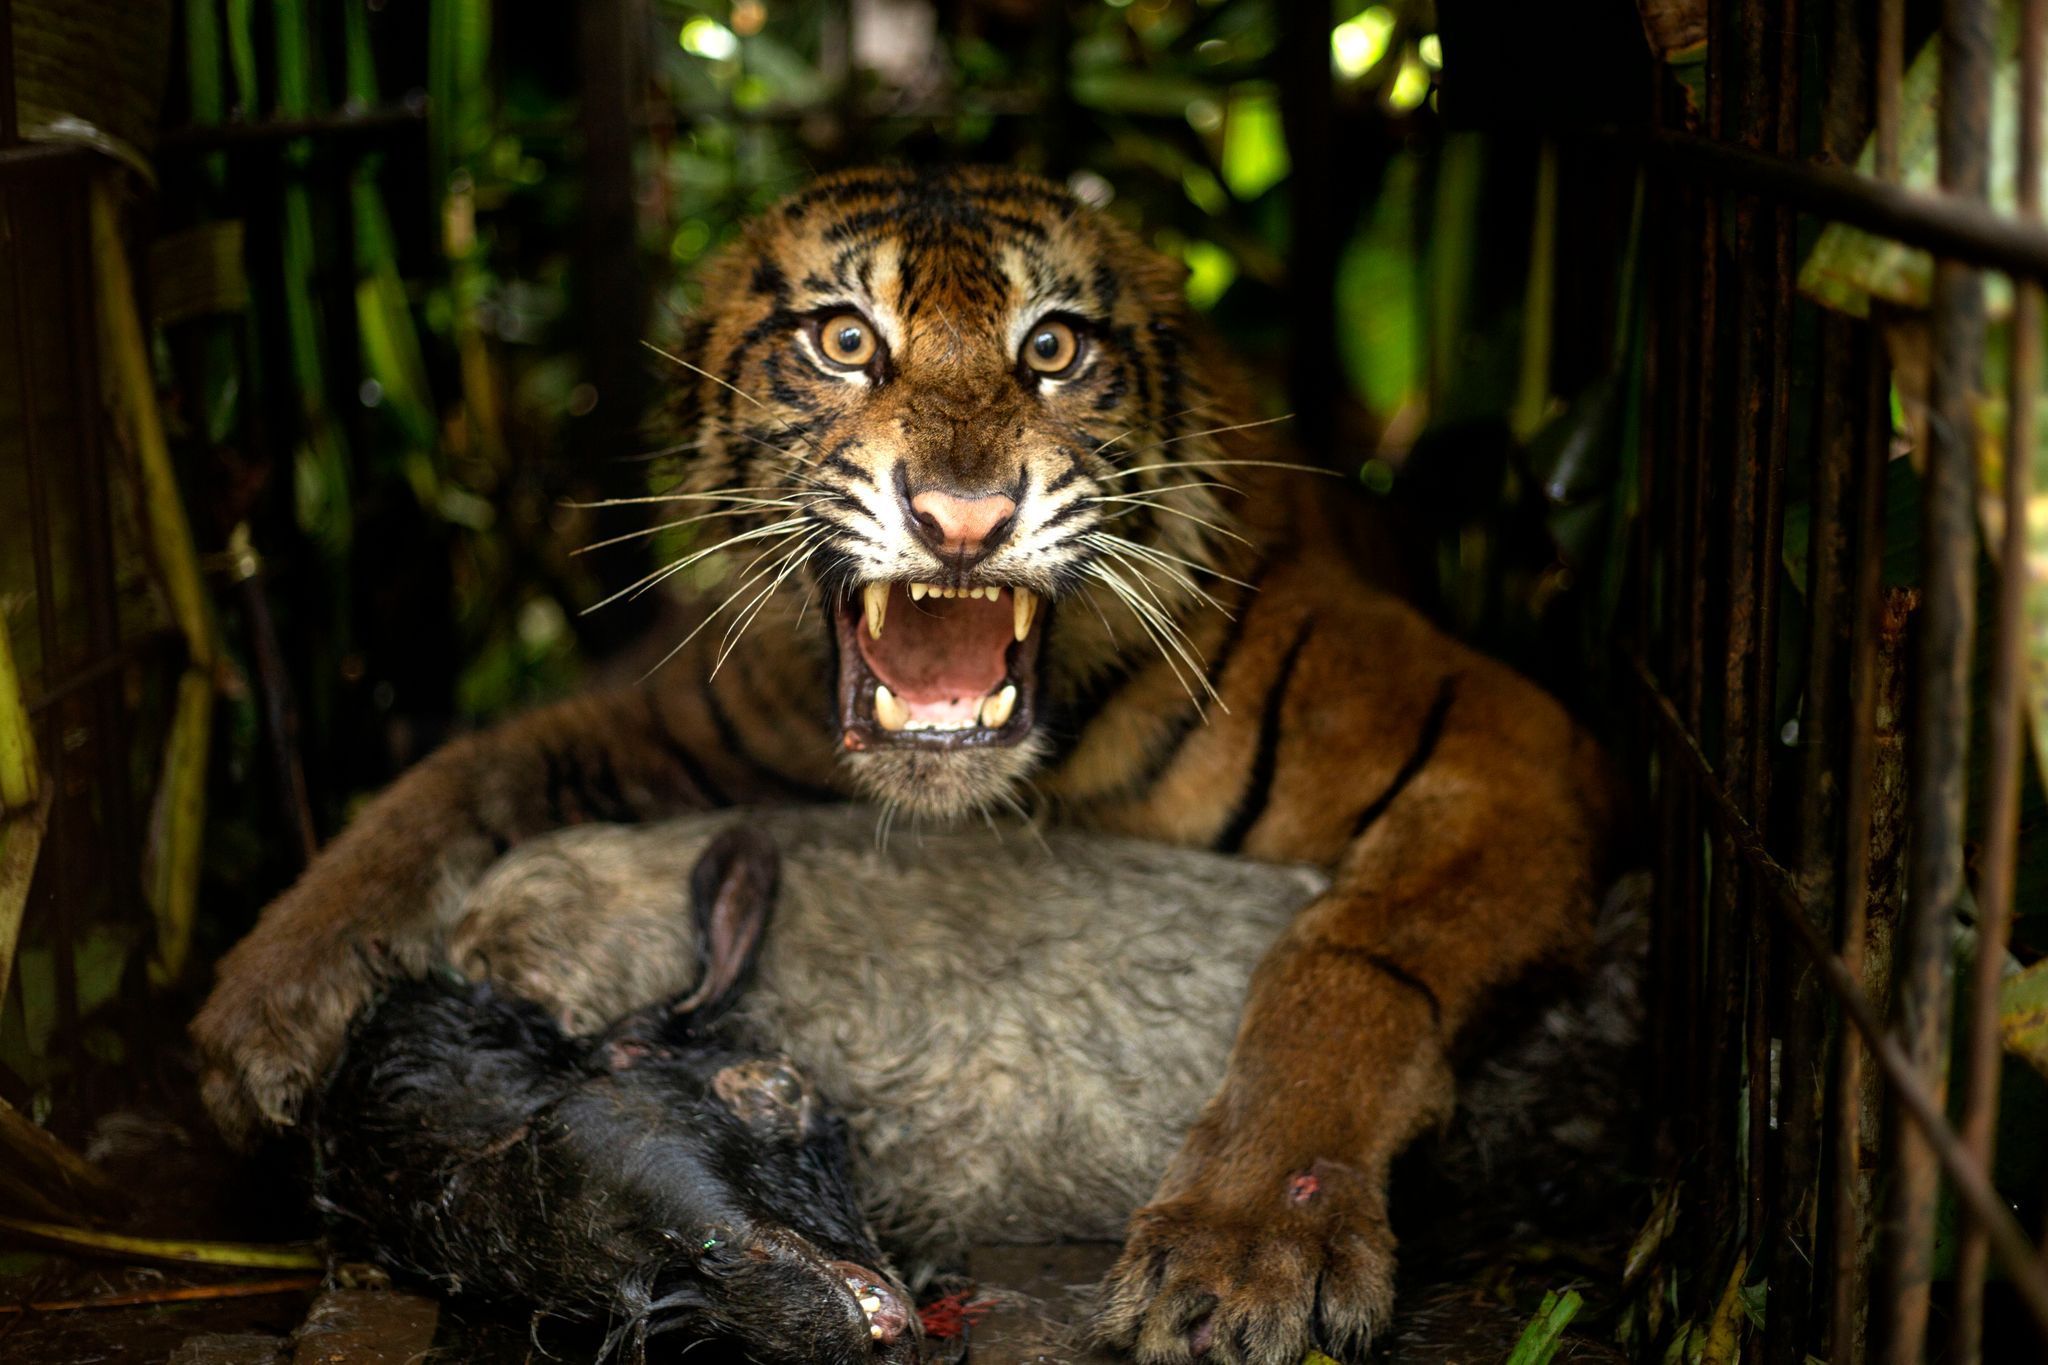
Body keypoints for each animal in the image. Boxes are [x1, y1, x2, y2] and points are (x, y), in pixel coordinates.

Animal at [191, 166, 1617, 1364]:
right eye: (843, 340)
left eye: (1051, 348)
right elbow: (457, 781)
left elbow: (1350, 964)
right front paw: (267, 1010)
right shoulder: (679, 728)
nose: (962, 517)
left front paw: (1252, 1243)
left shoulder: (1496, 734)